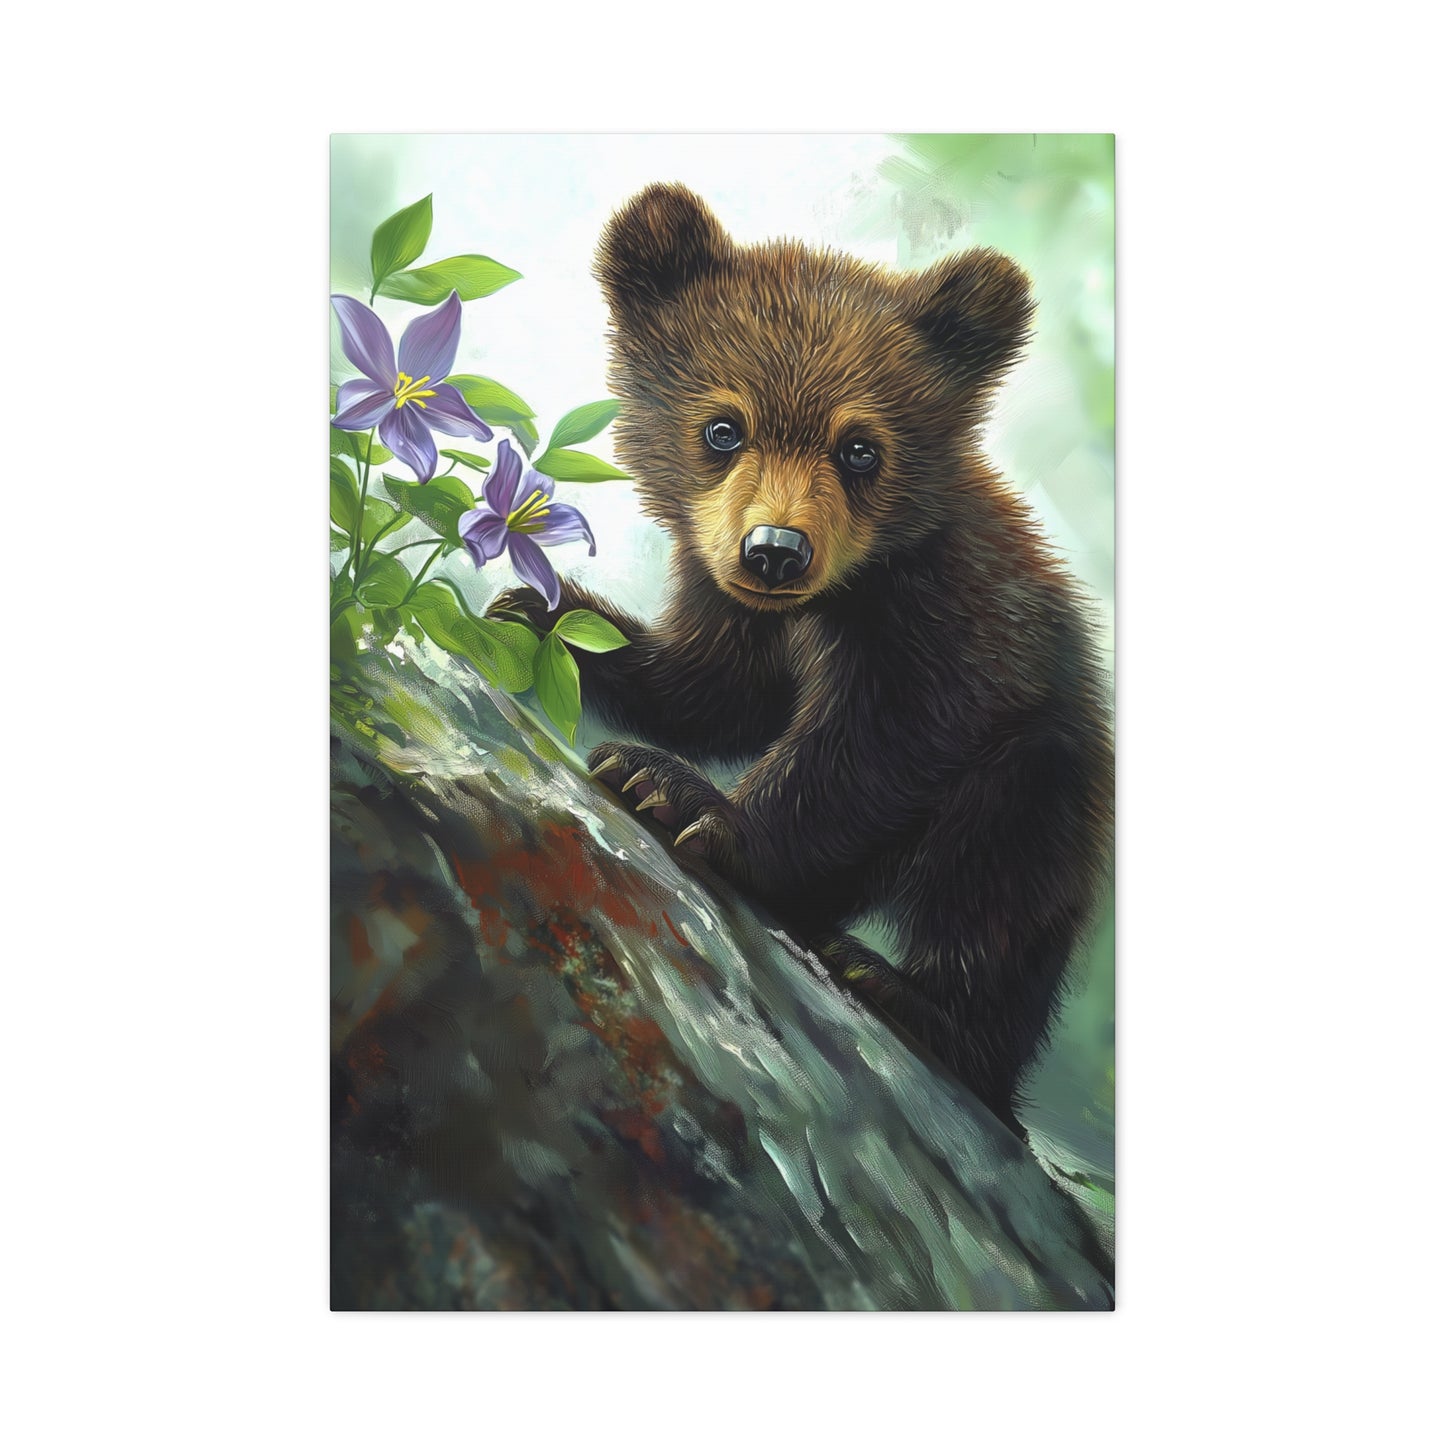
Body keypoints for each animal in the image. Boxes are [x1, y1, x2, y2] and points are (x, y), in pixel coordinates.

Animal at [494, 183, 1113, 1137]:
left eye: (860, 447)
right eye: (722, 427)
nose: (775, 550)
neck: (827, 603)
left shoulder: (943, 622)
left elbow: (875, 744)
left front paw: (678, 793)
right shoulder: (728, 595)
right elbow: (714, 688)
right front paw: (543, 612)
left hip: (1051, 775)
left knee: (1002, 880)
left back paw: (904, 992)